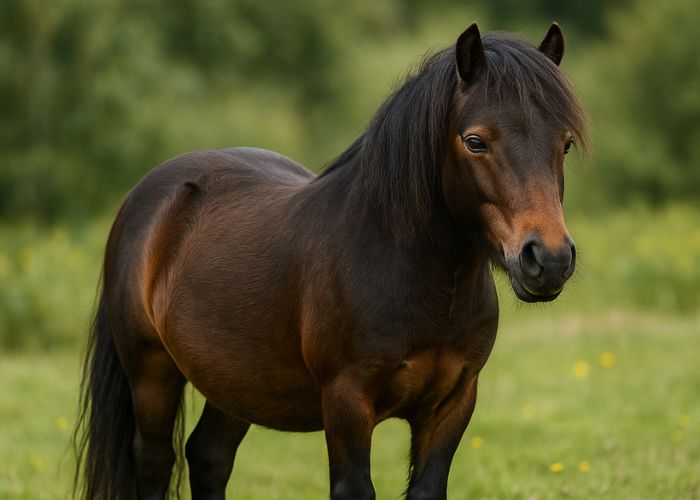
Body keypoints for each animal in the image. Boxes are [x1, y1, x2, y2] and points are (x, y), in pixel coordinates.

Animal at [75, 22, 588, 499]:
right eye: (476, 141)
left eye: (564, 144)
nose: (548, 259)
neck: (423, 282)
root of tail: (147, 195)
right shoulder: (347, 403)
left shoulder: (453, 403)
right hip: (151, 373)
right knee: (156, 461)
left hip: (233, 382)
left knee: (209, 456)